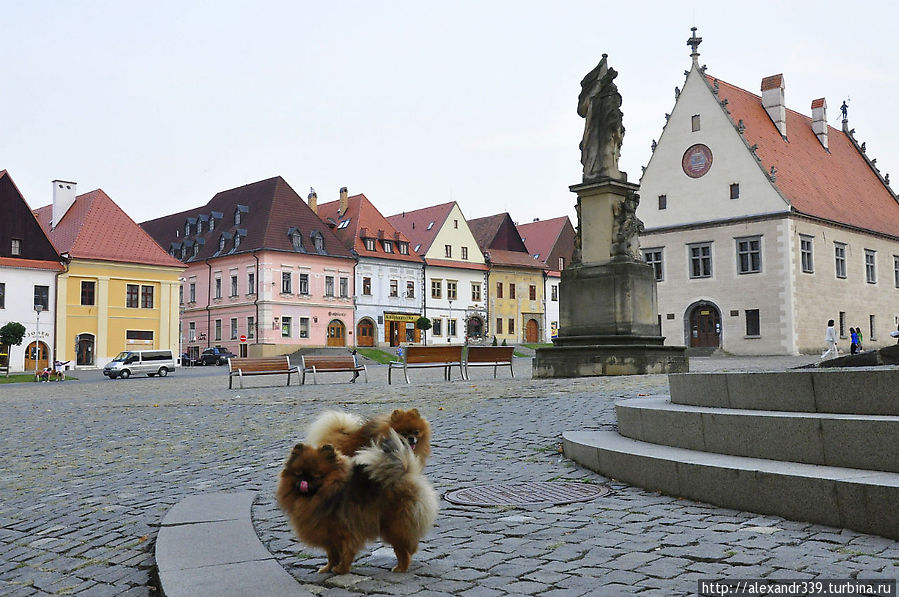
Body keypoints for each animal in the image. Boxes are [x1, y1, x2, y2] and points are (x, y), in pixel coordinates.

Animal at [278, 428, 440, 572]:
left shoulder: (346, 532)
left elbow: (346, 552)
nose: (305, 481)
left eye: (317, 476)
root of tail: (405, 473)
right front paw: (328, 568)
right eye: (298, 474)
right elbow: (332, 555)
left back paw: (401, 568)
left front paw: (341, 570)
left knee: (403, 548)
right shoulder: (329, 536)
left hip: (393, 525)